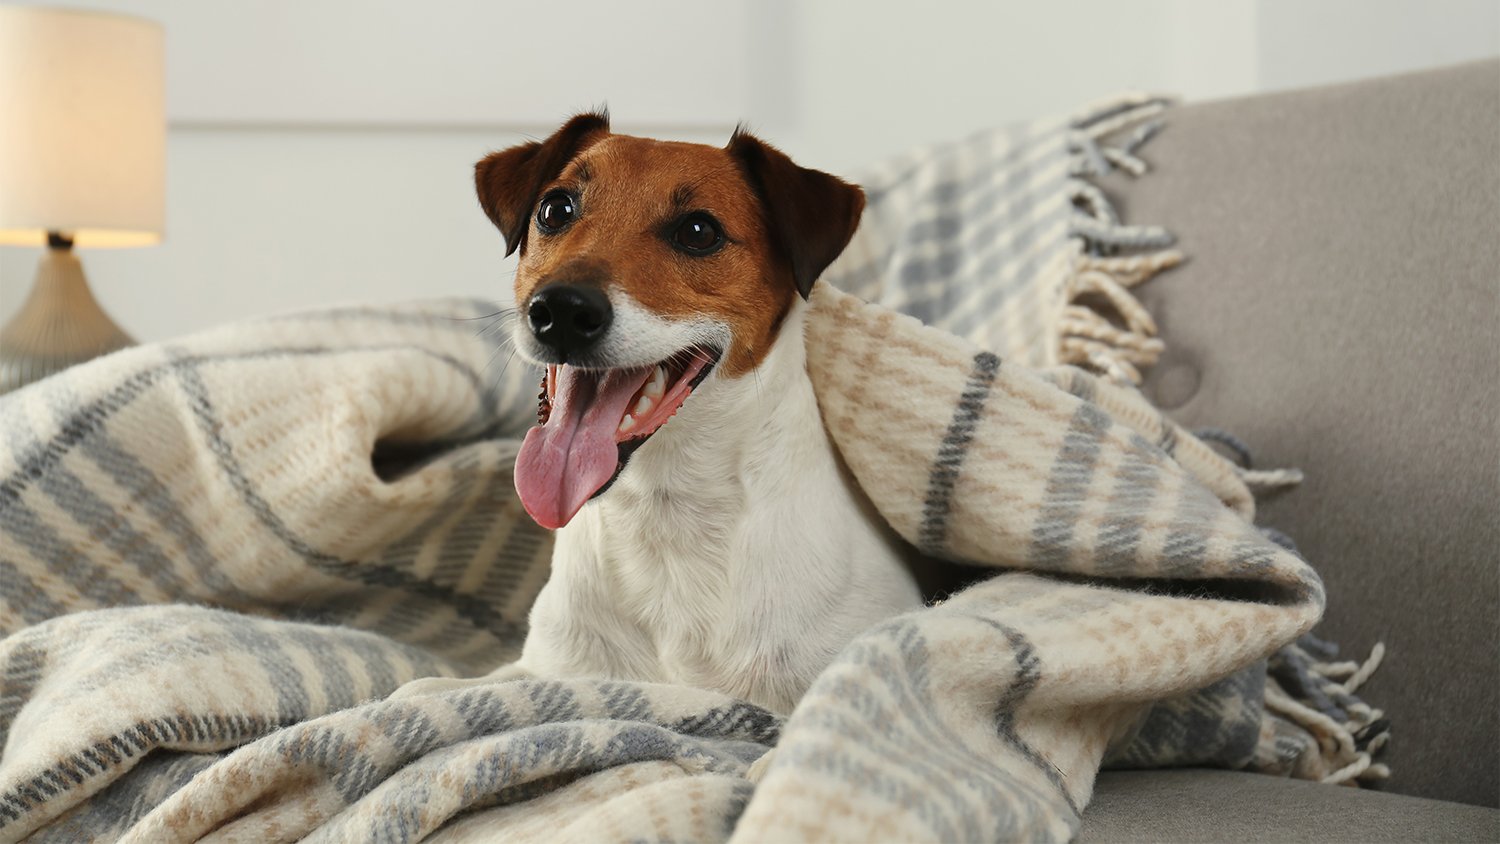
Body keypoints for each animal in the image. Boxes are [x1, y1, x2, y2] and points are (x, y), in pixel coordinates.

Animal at [393, 112, 918, 716]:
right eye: (555, 209)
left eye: (699, 231)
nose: (562, 311)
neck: (663, 519)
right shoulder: (553, 665)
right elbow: (420, 690)